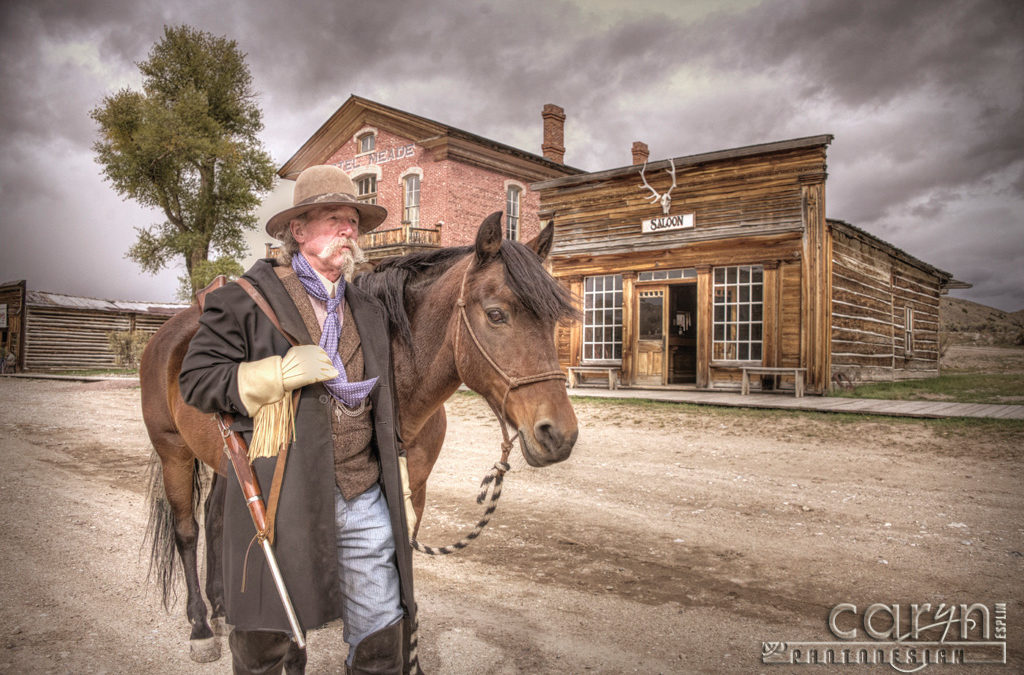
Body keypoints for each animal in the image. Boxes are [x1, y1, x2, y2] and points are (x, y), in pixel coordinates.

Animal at [140, 214, 581, 663]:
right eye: (496, 314)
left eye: (552, 320)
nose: (559, 434)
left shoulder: (412, 492)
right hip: (173, 452)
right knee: (187, 531)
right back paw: (201, 626)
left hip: (226, 464)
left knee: (215, 520)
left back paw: (222, 606)